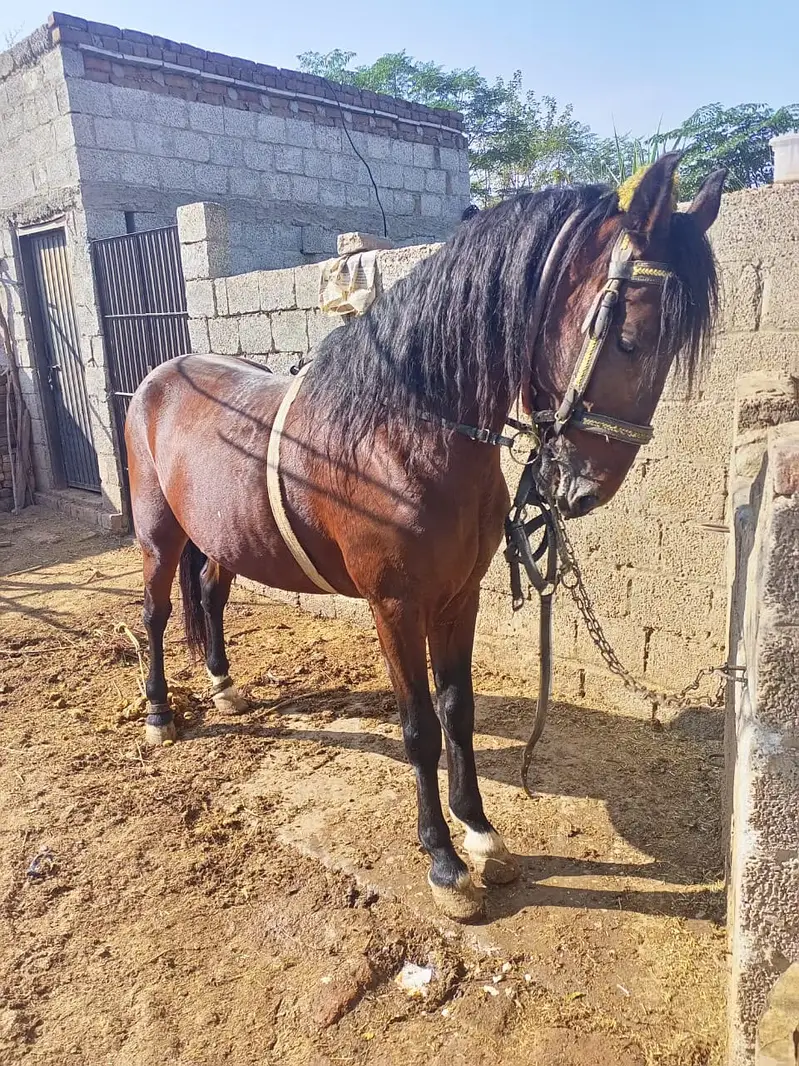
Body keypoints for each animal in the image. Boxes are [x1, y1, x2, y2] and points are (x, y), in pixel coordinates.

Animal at [125, 153, 725, 920]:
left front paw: (482, 837)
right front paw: (444, 862)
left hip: (225, 539)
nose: (583, 489)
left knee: (208, 594)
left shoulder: (459, 598)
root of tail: (160, 376)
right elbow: (417, 728)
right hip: (157, 534)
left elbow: (456, 712)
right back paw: (160, 714)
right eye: (626, 334)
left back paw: (225, 686)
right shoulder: (396, 609)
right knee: (155, 612)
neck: (402, 434)